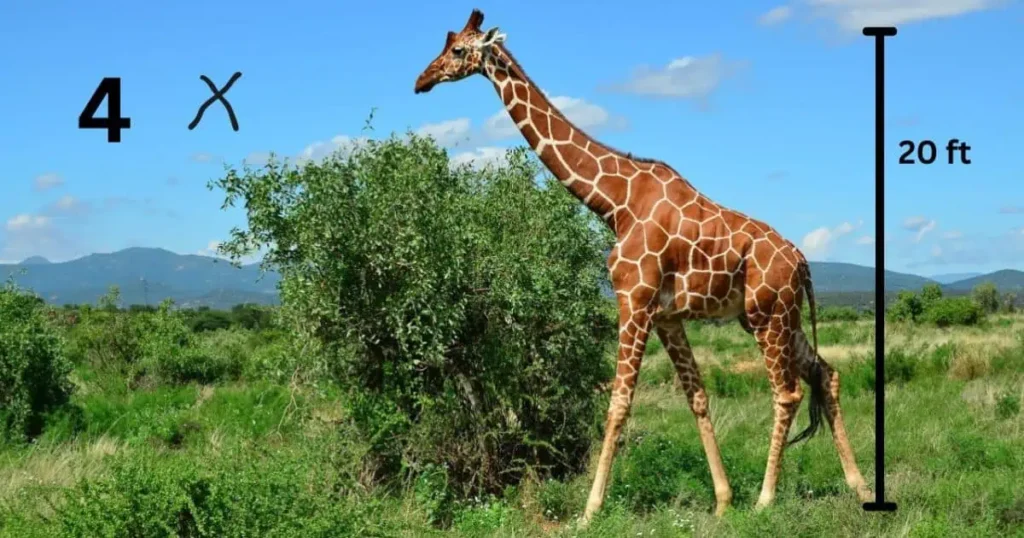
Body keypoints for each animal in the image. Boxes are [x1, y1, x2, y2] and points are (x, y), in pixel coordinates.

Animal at [415, 7, 872, 520]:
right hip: (778, 316)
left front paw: (589, 511)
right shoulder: (667, 315)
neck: (614, 202)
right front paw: (722, 500)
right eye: (444, 44)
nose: (421, 80)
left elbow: (617, 402)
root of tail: (803, 261)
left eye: (457, 50)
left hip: (767, 316)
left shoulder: (632, 299)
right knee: (826, 374)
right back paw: (858, 485)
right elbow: (697, 396)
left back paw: (766, 498)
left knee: (788, 392)